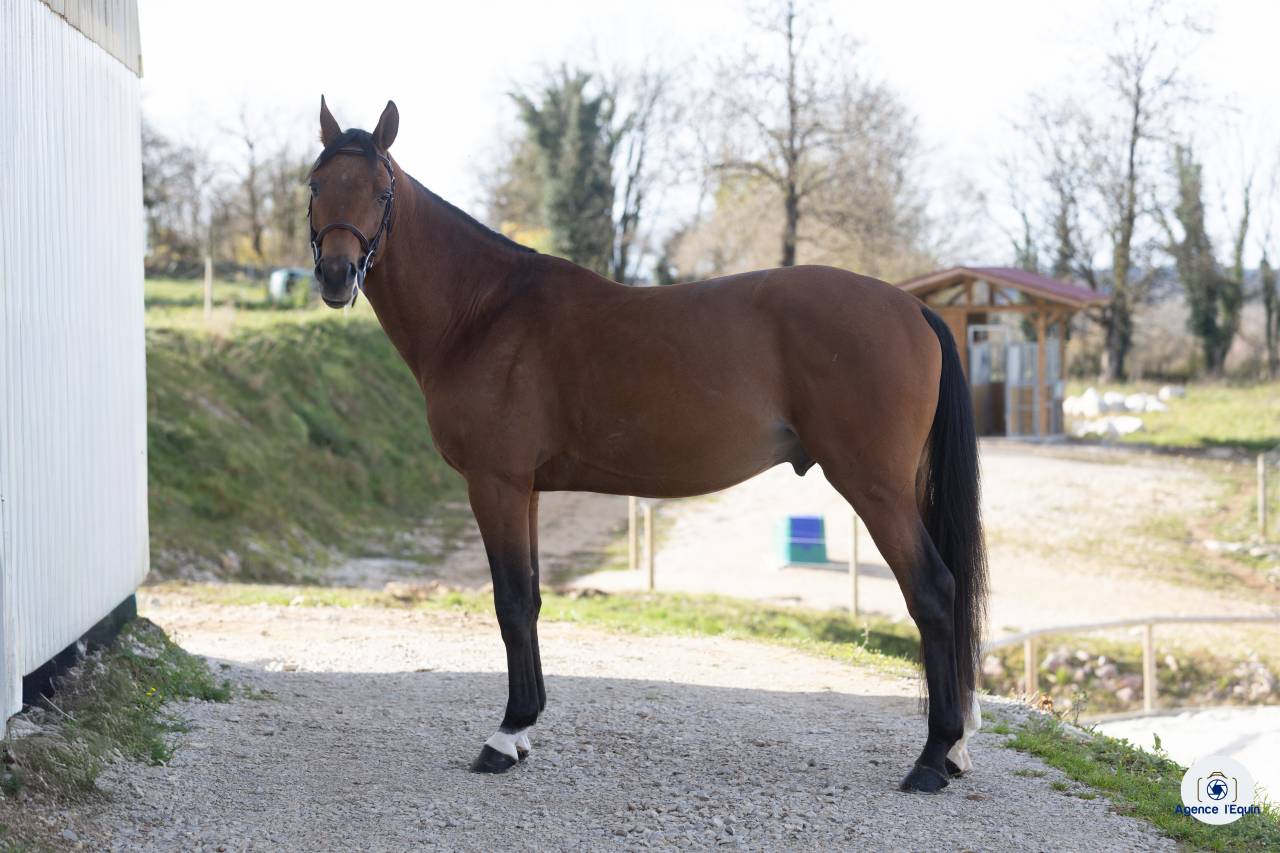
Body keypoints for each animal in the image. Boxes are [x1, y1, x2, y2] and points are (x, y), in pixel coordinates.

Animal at [307, 98, 987, 793]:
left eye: (380, 190)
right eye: (315, 185)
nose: (335, 275)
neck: (484, 311)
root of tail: (910, 306)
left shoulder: (495, 485)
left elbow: (510, 602)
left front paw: (504, 736)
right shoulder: (526, 490)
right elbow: (531, 601)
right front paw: (525, 728)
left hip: (874, 488)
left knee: (934, 592)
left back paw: (934, 756)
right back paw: (953, 750)